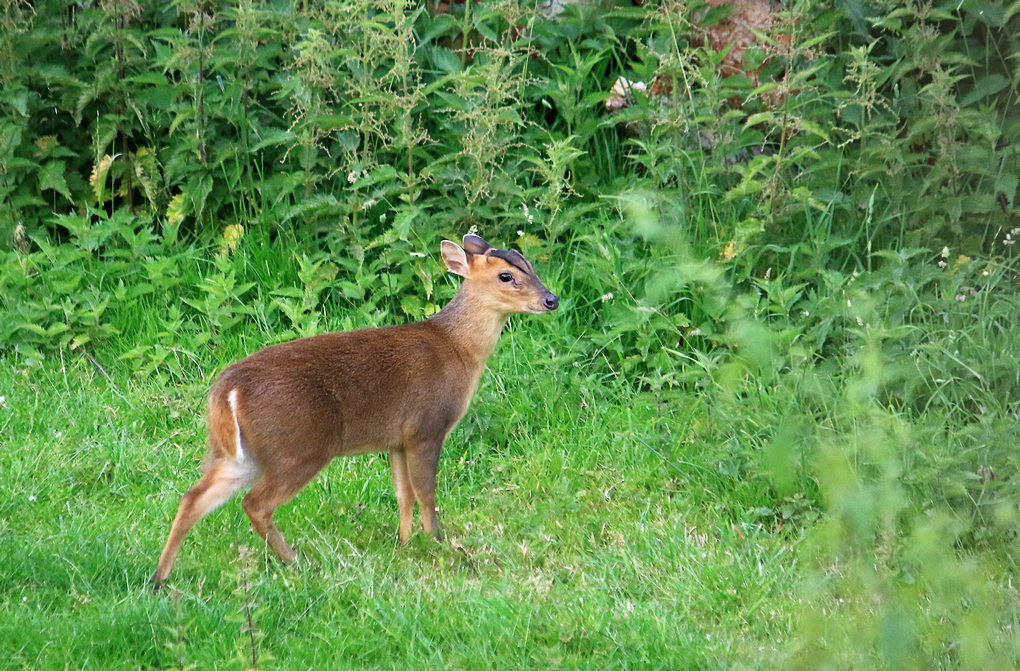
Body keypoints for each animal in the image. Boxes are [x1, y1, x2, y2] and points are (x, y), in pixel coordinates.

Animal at [153, 233, 558, 579]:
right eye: (506, 275)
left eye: (529, 264)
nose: (551, 300)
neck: (458, 350)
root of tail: (227, 389)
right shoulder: (427, 426)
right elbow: (426, 492)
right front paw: (438, 543)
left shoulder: (397, 438)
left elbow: (403, 493)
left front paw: (404, 543)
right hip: (300, 446)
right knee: (255, 503)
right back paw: (295, 560)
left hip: (241, 453)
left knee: (192, 498)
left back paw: (160, 577)